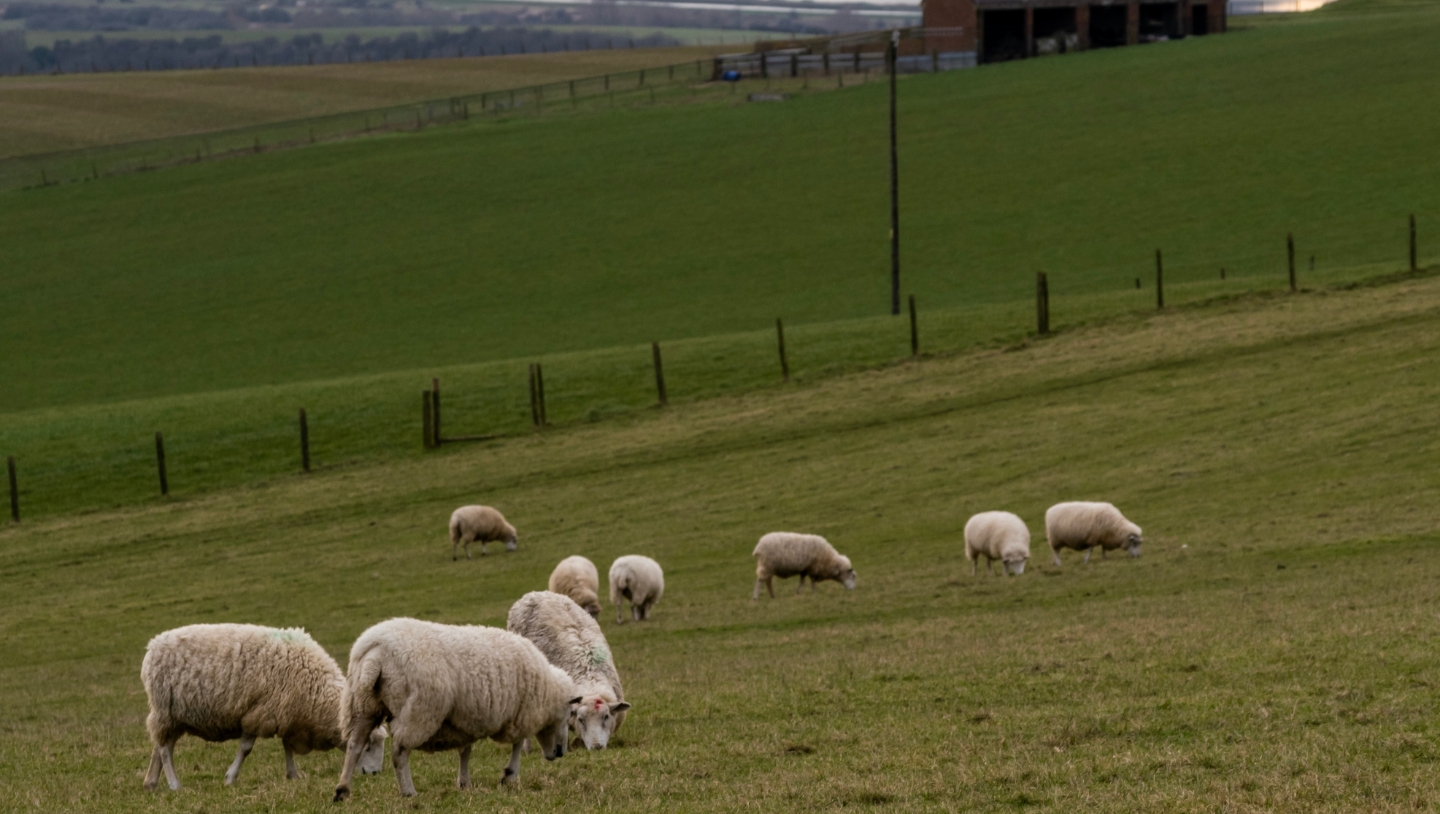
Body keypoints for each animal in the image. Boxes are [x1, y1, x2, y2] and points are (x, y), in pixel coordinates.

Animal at [140, 623, 387, 791]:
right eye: (367, 745)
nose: (375, 774)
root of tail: (152, 646)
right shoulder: (258, 713)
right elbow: (246, 749)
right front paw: (230, 777)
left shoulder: (287, 712)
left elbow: (287, 746)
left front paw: (293, 774)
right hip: (166, 711)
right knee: (165, 749)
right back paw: (174, 784)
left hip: (173, 716)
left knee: (160, 746)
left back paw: (151, 782)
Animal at [333, 617, 580, 801]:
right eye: (569, 715)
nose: (561, 752)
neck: (546, 690)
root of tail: (375, 653)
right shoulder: (519, 713)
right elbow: (517, 744)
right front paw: (510, 774)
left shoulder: (467, 719)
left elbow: (465, 752)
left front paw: (464, 782)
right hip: (419, 710)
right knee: (399, 752)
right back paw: (408, 791)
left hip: (364, 705)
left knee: (355, 745)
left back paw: (342, 790)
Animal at [507, 591, 630, 750]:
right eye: (581, 719)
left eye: (606, 716)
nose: (596, 747)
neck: (589, 676)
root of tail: (533, 593)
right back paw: (527, 749)